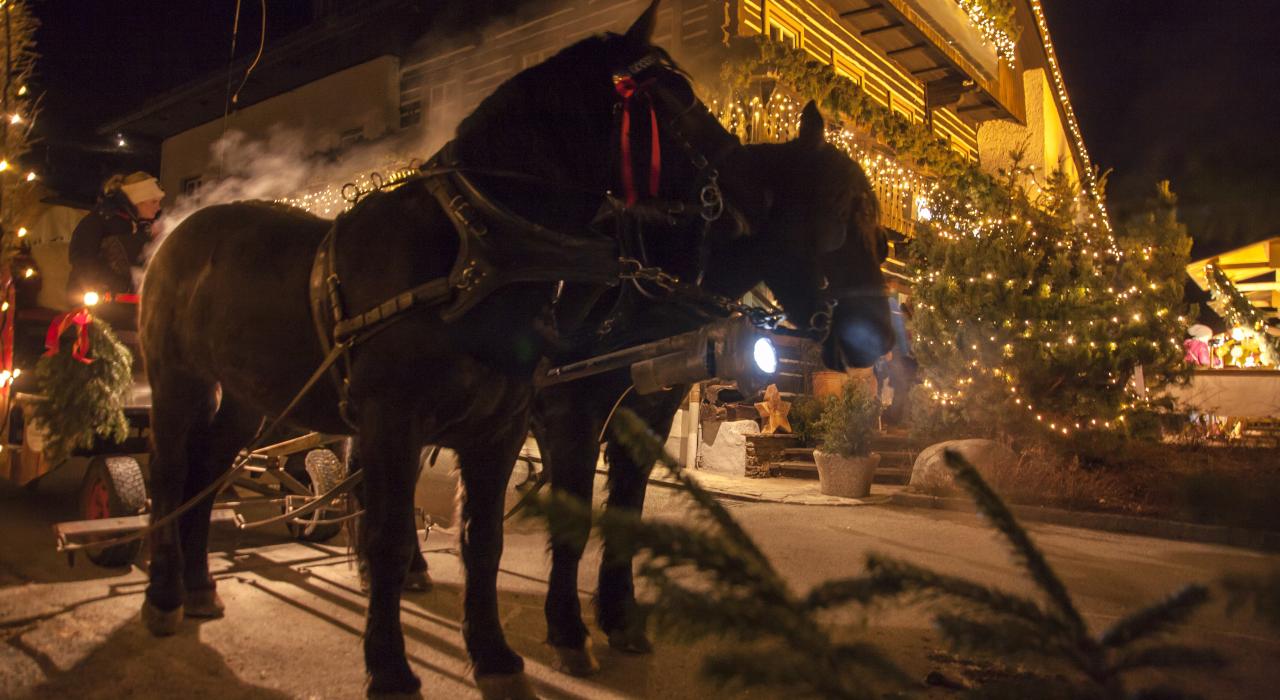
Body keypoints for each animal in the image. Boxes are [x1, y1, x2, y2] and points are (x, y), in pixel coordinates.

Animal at [140, 2, 880, 696]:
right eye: (673, 98)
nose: (872, 334)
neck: (475, 252)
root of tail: (180, 233)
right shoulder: (446, 418)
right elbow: (415, 532)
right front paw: (402, 663)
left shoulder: (533, 423)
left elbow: (500, 537)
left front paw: (512, 649)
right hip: (179, 382)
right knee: (173, 476)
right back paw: (165, 595)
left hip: (255, 397)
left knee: (212, 469)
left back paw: (205, 585)